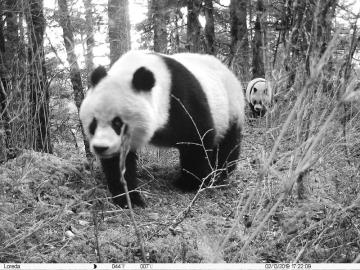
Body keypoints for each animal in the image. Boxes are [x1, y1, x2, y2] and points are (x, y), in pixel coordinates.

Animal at [80, 50, 246, 207]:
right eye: (93, 123)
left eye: (117, 123)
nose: (101, 148)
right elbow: (119, 163)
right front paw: (128, 199)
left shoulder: (183, 98)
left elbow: (197, 139)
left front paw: (190, 183)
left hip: (229, 107)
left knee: (227, 144)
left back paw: (220, 173)